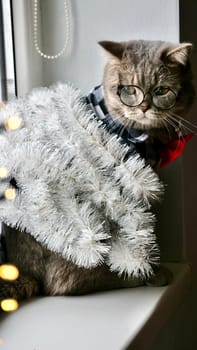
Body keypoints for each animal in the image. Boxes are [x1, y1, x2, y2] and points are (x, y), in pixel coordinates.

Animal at [0, 39, 194, 304]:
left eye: (162, 90)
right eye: (128, 89)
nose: (144, 107)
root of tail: (24, 271)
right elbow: (138, 236)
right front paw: (148, 268)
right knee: (64, 282)